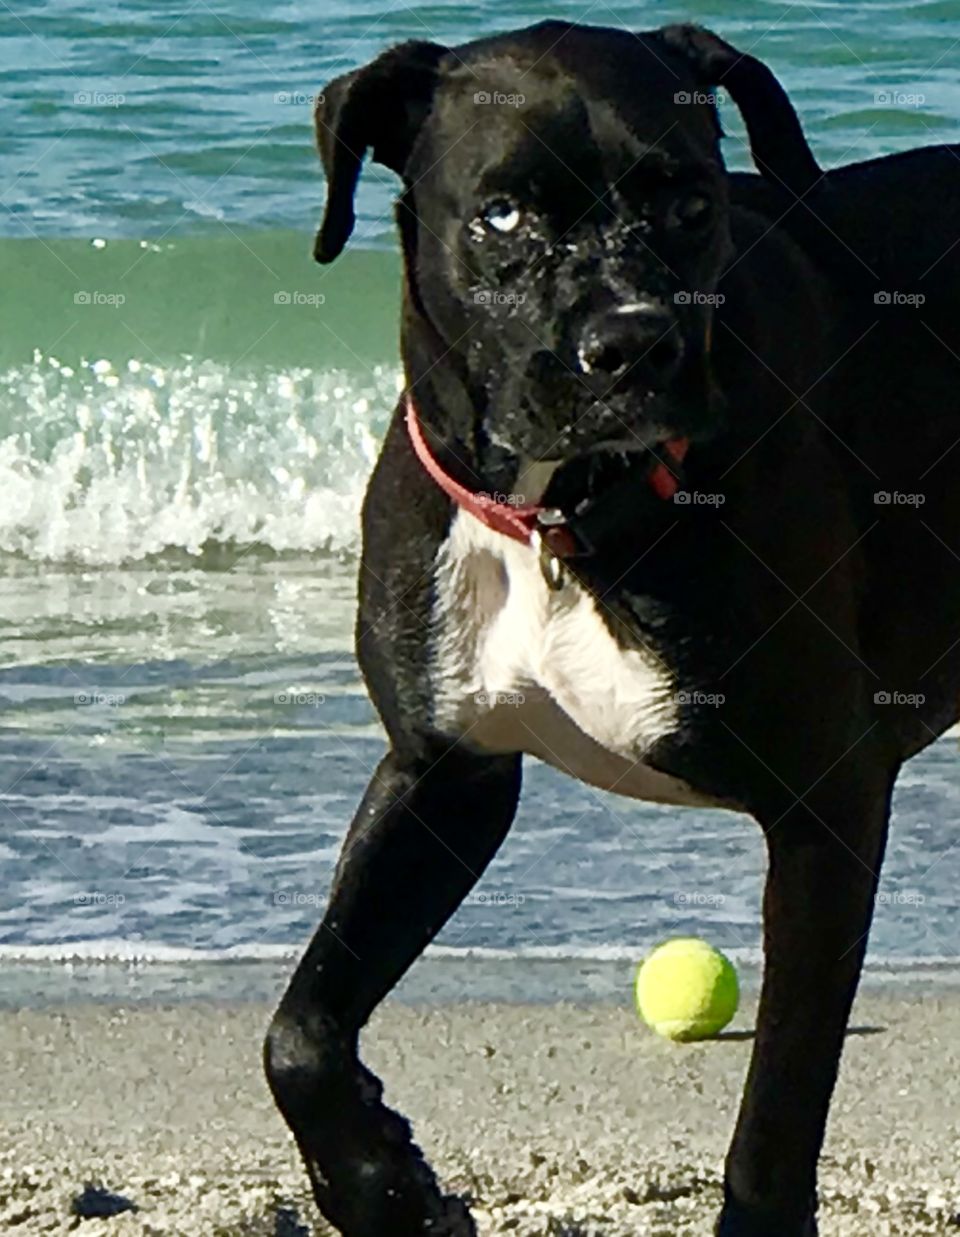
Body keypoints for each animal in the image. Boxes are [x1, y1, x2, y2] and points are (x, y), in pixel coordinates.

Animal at [262, 21, 959, 1237]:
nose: (632, 343)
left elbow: (779, 1100)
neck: (564, 511)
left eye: (687, 202)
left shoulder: (827, 808)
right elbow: (299, 1028)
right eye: (502, 214)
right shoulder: (444, 773)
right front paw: (386, 1187)